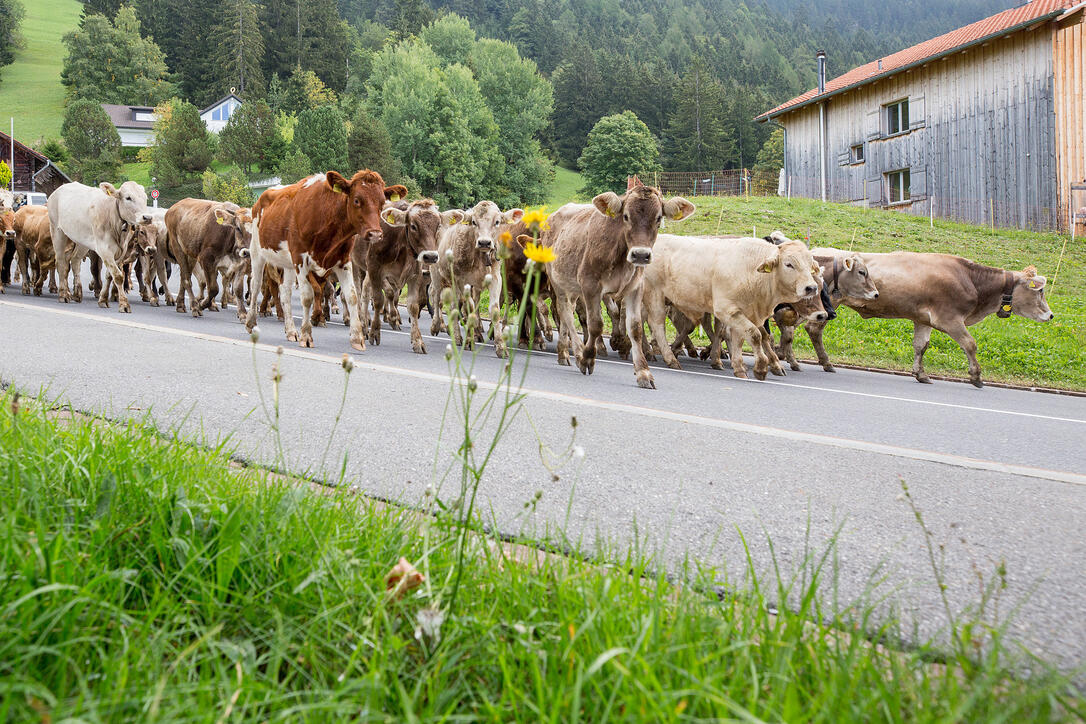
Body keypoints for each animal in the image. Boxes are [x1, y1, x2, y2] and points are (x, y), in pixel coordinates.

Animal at [48, 181, 153, 312]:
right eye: (128, 197)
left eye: (145, 198)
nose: (147, 217)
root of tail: (59, 189)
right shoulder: (104, 250)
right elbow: (118, 276)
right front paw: (124, 304)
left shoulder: (120, 253)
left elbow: (109, 275)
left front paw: (103, 300)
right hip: (57, 232)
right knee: (61, 262)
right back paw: (63, 294)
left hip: (82, 241)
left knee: (75, 261)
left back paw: (77, 293)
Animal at [543, 185, 695, 390]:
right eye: (626, 216)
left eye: (658, 218)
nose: (641, 255)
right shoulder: (590, 285)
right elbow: (595, 325)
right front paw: (587, 359)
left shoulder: (635, 288)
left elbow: (636, 328)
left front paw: (643, 372)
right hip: (557, 281)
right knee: (565, 313)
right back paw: (576, 352)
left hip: (572, 286)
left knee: (568, 312)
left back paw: (565, 352)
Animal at [642, 235, 816, 382]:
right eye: (789, 264)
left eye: (810, 266)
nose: (812, 287)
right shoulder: (726, 310)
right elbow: (755, 335)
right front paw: (760, 368)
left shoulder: (743, 313)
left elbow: (740, 338)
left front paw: (739, 367)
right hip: (654, 294)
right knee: (657, 325)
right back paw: (669, 358)